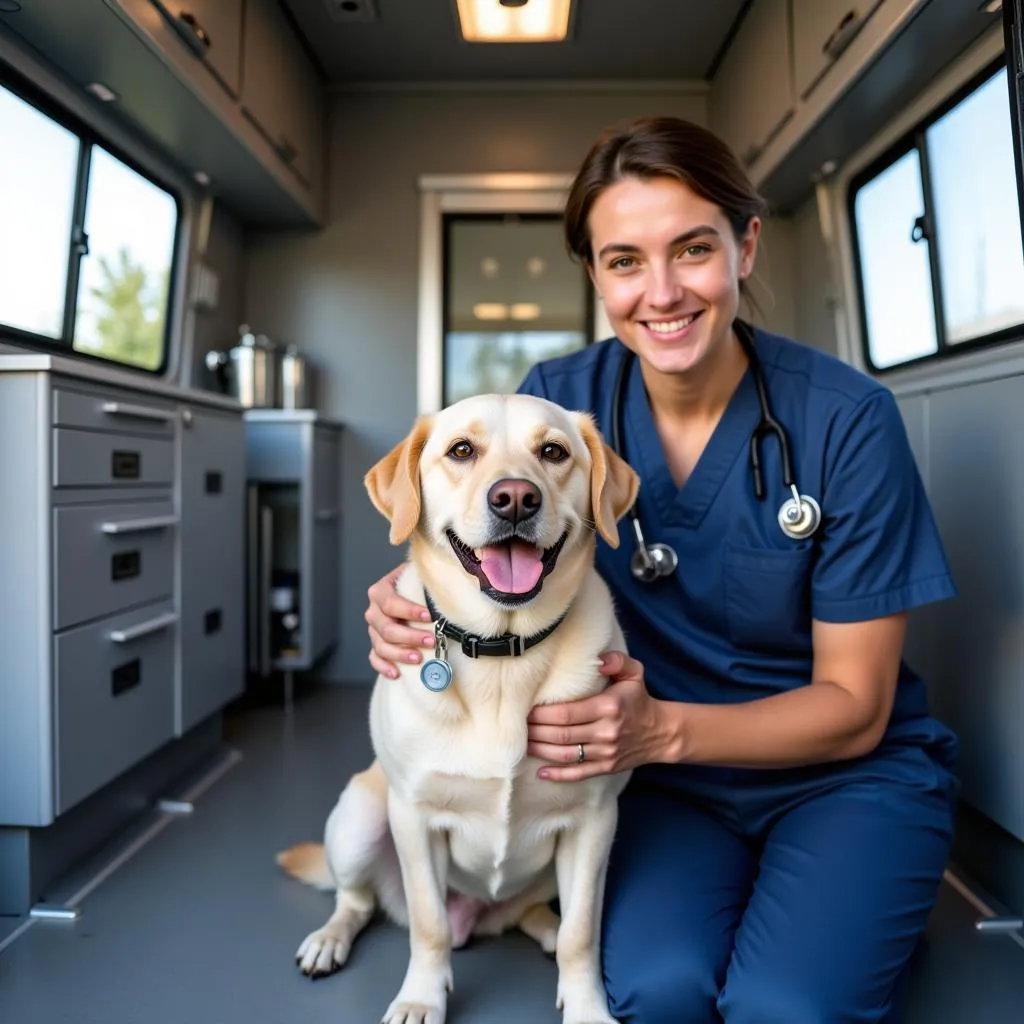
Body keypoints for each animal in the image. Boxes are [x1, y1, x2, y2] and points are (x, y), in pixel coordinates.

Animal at [276, 393, 634, 1024]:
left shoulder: (594, 822)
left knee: (537, 916)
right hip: (361, 816)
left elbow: (581, 934)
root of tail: (481, 918)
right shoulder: (414, 819)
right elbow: (429, 925)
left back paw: (542, 929)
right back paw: (329, 940)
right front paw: (421, 999)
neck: (504, 651)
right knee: (357, 900)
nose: (515, 497)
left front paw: (587, 1006)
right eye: (461, 450)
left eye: (553, 451)